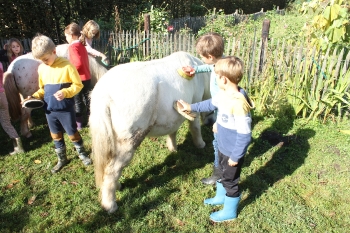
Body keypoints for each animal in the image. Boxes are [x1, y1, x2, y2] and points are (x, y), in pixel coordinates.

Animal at [89, 51, 211, 213]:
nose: (211, 123)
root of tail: (104, 94)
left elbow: (173, 130)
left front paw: (173, 149)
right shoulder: (195, 102)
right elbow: (195, 127)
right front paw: (200, 145)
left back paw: (116, 187)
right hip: (128, 140)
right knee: (112, 170)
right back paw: (110, 205)